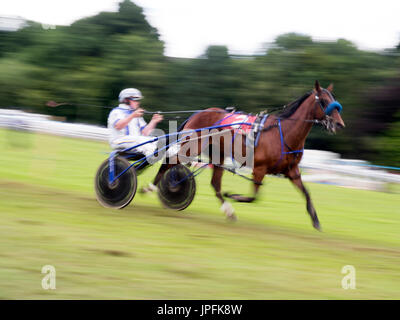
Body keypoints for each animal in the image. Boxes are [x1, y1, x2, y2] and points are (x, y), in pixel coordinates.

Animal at [152, 80, 344, 230]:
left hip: (218, 154)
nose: (339, 124)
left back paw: (228, 211)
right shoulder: (259, 169)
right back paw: (156, 186)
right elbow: (253, 197)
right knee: (170, 161)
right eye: (324, 101)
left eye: (334, 101)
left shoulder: (292, 171)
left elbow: (306, 193)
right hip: (192, 147)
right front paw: (234, 195)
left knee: (214, 183)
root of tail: (197, 113)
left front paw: (315, 220)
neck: (283, 133)